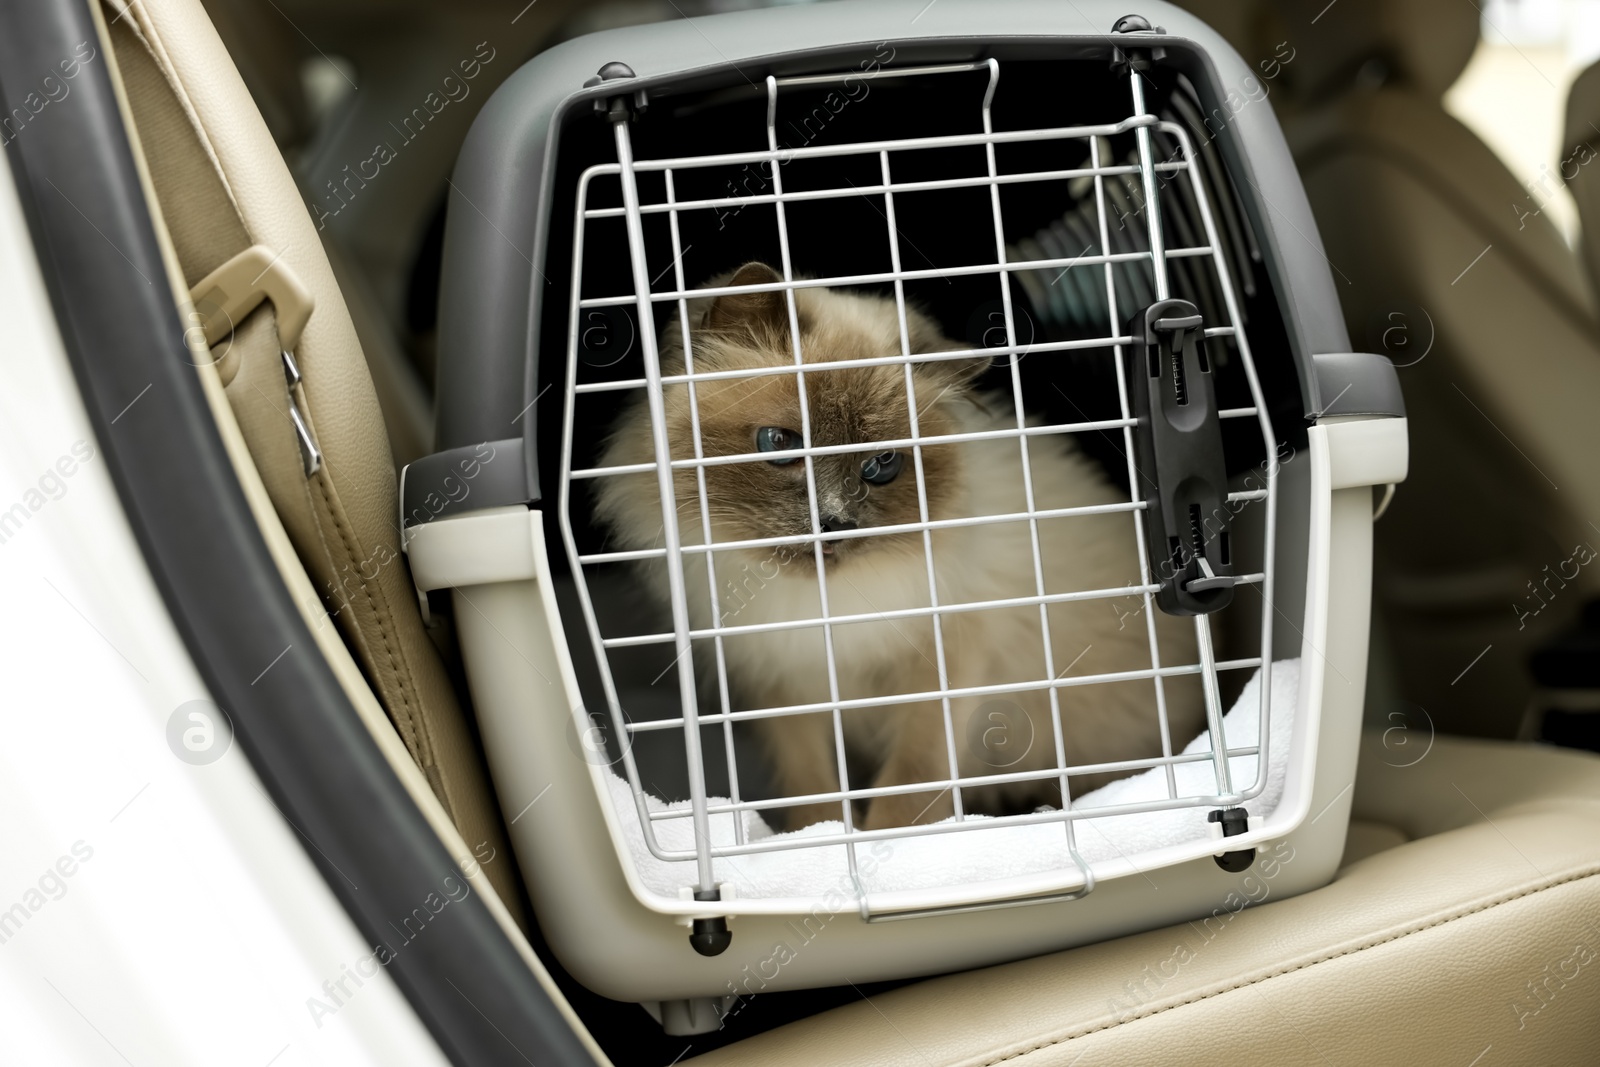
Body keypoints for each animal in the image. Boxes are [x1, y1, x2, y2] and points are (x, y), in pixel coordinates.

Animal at [598, 262, 1203, 831]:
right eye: (779, 445)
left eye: (881, 466)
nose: (833, 522)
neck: (825, 610)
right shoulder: (783, 683)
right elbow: (813, 788)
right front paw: (822, 840)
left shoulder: (943, 666)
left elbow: (910, 784)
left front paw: (885, 844)